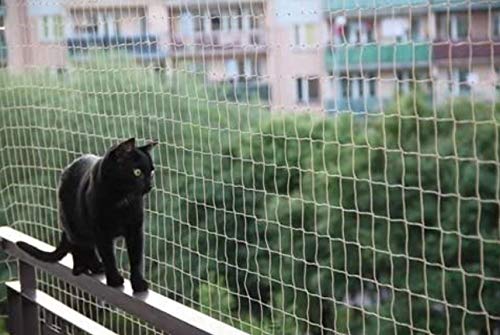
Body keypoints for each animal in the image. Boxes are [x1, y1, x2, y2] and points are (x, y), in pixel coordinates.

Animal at [16, 138, 156, 292]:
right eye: (137, 172)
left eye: (152, 172)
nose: (150, 186)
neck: (121, 200)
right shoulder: (101, 232)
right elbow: (109, 257)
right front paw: (114, 280)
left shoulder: (135, 229)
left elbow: (136, 258)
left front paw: (138, 283)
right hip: (74, 226)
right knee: (79, 247)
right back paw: (84, 267)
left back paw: (95, 267)